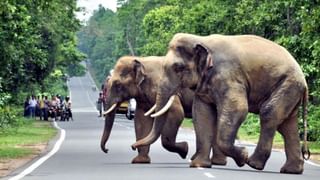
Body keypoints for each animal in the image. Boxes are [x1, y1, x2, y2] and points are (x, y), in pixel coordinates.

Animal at [131, 33, 308, 174]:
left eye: (178, 68)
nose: (132, 146)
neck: (201, 39)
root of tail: (304, 80)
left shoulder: (228, 75)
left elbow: (238, 109)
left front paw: (242, 156)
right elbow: (202, 114)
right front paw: (198, 165)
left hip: (287, 85)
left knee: (269, 114)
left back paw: (253, 163)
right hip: (290, 89)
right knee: (287, 126)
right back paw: (291, 171)